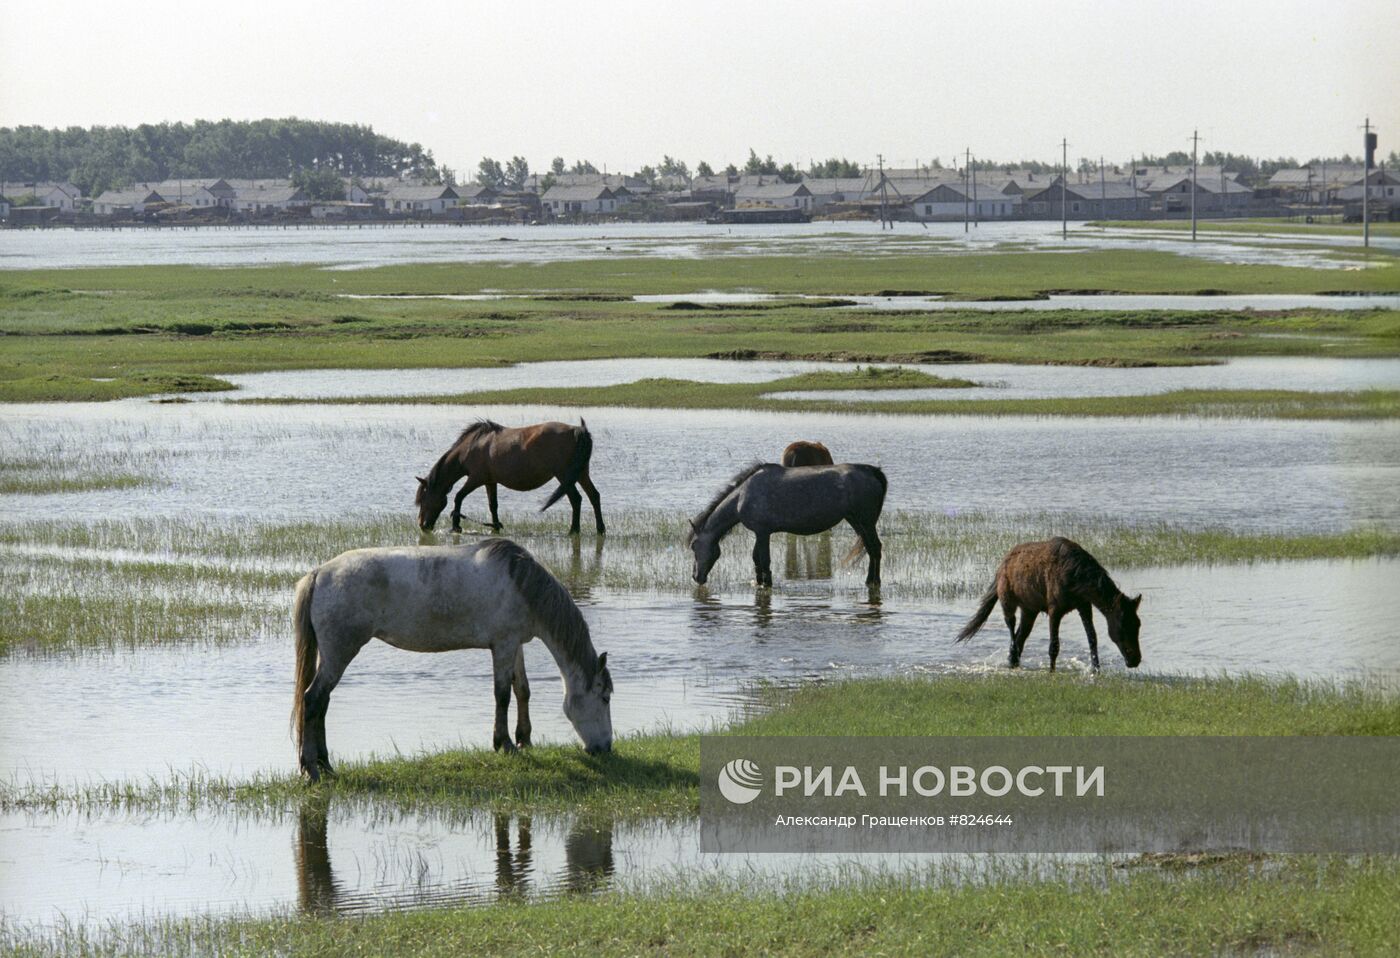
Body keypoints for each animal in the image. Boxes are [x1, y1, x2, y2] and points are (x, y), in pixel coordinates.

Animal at [291, 537, 613, 778]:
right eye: (605, 696)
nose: (605, 748)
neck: (520, 583)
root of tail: (319, 573)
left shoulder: (515, 645)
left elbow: (522, 690)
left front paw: (524, 739)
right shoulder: (503, 645)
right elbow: (502, 695)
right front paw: (505, 743)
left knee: (322, 703)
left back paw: (325, 764)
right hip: (339, 654)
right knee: (313, 699)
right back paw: (312, 768)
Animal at [414, 420, 602, 537]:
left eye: (423, 499)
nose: (422, 525)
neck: (471, 447)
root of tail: (578, 430)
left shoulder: (475, 479)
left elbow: (459, 497)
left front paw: (456, 526)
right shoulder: (490, 481)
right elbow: (493, 505)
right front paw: (496, 526)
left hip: (564, 476)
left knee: (576, 499)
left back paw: (573, 530)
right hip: (581, 474)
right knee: (594, 496)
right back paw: (600, 529)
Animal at [686, 462, 884, 588]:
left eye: (694, 545)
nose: (696, 577)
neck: (742, 496)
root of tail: (872, 472)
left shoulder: (763, 533)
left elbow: (764, 560)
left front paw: (767, 583)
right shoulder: (760, 533)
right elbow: (756, 559)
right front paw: (760, 583)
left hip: (866, 522)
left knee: (875, 548)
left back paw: (872, 581)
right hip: (857, 522)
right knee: (871, 548)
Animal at [957, 537, 1142, 672]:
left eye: (1138, 624)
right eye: (1123, 625)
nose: (1135, 659)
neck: (1076, 578)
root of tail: (1001, 566)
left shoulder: (1084, 606)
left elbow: (1092, 638)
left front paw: (1096, 669)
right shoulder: (1055, 610)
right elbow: (1054, 645)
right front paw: (1051, 671)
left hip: (1029, 610)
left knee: (1020, 636)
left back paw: (1013, 662)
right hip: (1007, 601)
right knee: (1011, 628)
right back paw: (1013, 658)